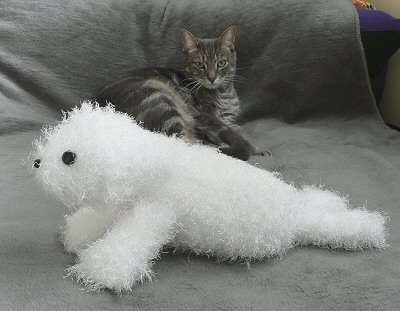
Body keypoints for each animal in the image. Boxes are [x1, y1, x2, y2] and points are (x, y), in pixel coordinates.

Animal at [93, 26, 268, 161]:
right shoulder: (204, 115)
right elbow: (230, 132)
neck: (223, 93)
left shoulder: (227, 118)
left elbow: (237, 129)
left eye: (221, 63)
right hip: (161, 100)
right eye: (199, 65)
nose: (212, 78)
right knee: (186, 144)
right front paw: (254, 148)